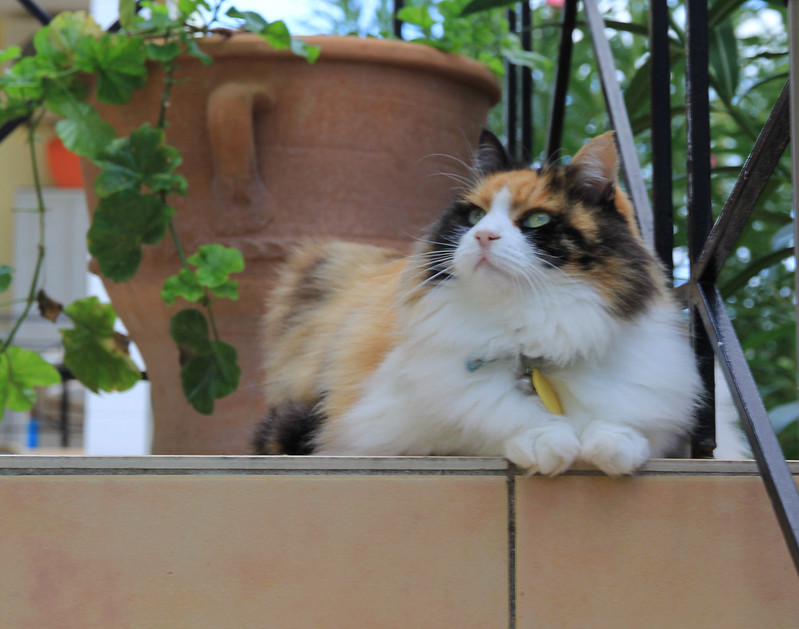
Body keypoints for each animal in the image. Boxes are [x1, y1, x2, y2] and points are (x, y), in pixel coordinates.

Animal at [253, 129, 744, 475]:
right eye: (473, 215)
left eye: (537, 220)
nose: (483, 236)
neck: (538, 334)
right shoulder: (381, 430)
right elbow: (486, 424)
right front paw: (547, 440)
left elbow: (630, 428)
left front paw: (612, 445)